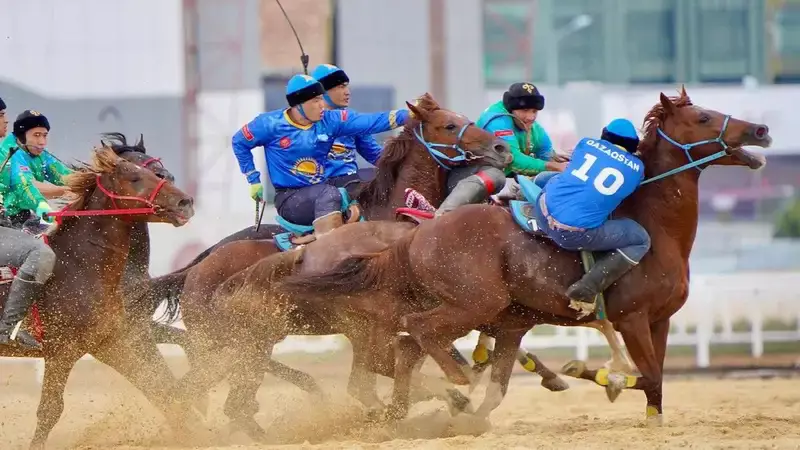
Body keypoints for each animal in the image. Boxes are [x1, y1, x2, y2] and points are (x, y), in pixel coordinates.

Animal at [0, 146, 197, 448]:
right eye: (136, 177)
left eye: (160, 173)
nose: (185, 202)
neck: (77, 266)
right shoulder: (62, 350)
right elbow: (49, 411)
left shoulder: (111, 342)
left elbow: (159, 387)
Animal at [272, 88, 772, 426]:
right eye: (704, 117)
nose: (762, 129)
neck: (651, 222)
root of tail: (418, 234)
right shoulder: (631, 319)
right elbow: (646, 376)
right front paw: (595, 374)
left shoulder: (658, 320)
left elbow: (657, 381)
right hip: (467, 304)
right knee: (414, 338)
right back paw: (456, 384)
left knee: (406, 353)